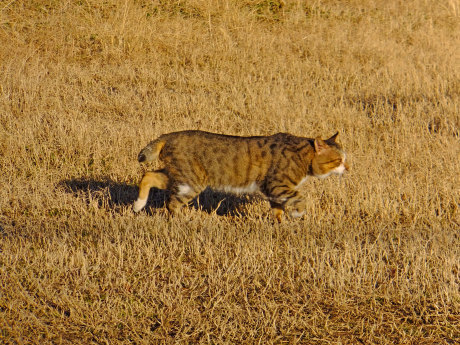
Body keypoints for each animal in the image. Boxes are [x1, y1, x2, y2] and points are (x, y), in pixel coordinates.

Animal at [133, 129, 348, 220]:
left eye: (345, 159)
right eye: (338, 160)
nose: (347, 169)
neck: (303, 156)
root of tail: (168, 136)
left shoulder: (275, 192)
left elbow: (278, 210)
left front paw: (279, 224)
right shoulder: (276, 185)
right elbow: (301, 198)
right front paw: (297, 213)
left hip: (179, 176)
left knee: (149, 176)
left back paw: (138, 205)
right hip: (191, 182)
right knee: (171, 203)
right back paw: (183, 221)